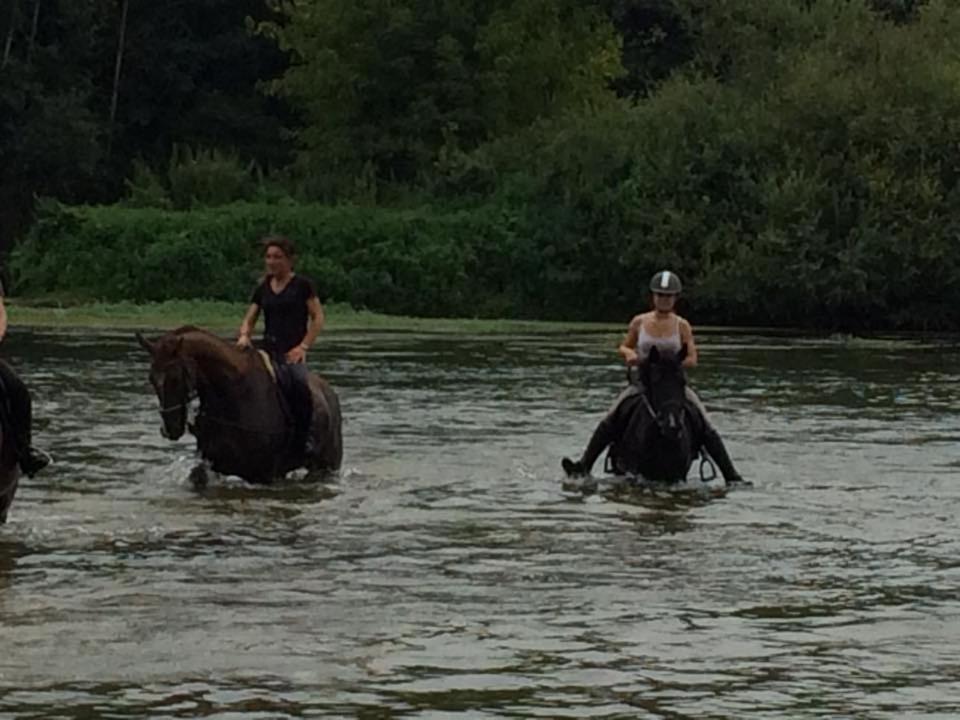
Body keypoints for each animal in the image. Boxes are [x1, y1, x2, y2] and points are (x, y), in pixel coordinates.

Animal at [137, 326, 344, 484]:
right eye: (151, 379)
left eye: (174, 378)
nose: (169, 429)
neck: (233, 397)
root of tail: (329, 392)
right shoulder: (215, 463)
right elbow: (197, 477)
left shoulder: (263, 474)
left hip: (326, 465)